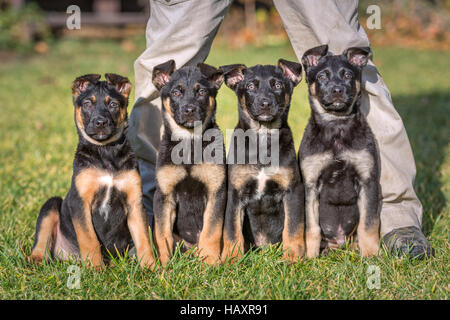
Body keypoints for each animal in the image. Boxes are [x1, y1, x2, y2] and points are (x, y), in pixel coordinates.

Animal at [28, 74, 155, 268]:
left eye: (113, 104)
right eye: (88, 103)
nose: (100, 122)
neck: (106, 152)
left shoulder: (135, 202)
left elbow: (143, 239)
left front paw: (151, 268)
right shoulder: (80, 201)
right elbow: (89, 239)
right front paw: (96, 269)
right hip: (51, 204)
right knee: (41, 238)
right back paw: (36, 260)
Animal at [151, 60, 227, 264]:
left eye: (201, 92)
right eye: (176, 93)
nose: (189, 110)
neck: (189, 142)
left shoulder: (216, 190)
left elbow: (211, 231)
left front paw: (209, 262)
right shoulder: (164, 194)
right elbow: (162, 234)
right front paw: (163, 264)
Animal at [219, 60, 304, 262]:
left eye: (278, 85)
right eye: (250, 86)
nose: (265, 103)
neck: (263, 138)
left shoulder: (293, 190)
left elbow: (293, 228)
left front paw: (292, 258)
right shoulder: (235, 193)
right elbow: (232, 231)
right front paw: (231, 260)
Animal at [298, 44, 380, 258]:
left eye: (348, 75)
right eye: (321, 76)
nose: (337, 90)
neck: (336, 127)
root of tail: (340, 241)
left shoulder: (367, 180)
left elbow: (368, 225)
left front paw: (371, 256)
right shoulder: (310, 184)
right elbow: (312, 228)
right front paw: (309, 258)